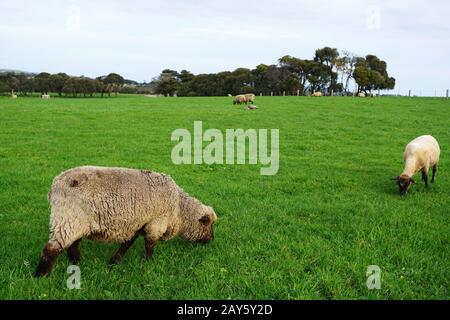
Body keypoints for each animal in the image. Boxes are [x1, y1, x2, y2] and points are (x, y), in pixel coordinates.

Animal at [34, 166, 217, 276]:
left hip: (77, 222)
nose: (210, 240)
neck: (179, 209)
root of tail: (56, 183)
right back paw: (41, 276)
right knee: (51, 249)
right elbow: (150, 245)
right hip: (69, 218)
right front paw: (148, 262)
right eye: (208, 224)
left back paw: (77, 262)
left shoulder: (137, 224)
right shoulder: (156, 223)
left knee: (72, 245)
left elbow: (127, 243)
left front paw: (114, 261)